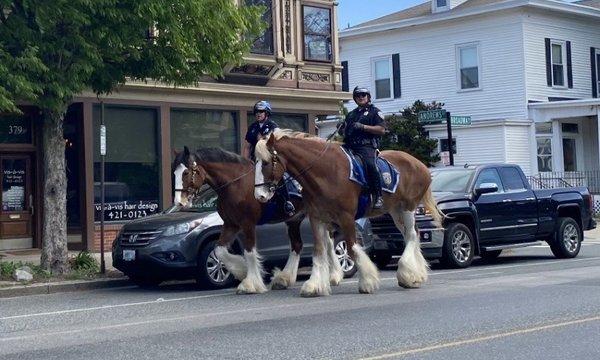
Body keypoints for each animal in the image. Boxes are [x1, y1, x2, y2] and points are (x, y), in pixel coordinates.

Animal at [171, 148, 344, 294]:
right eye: (174, 173)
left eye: (186, 172)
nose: (179, 203)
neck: (235, 183)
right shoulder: (231, 224)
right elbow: (220, 250)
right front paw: (241, 270)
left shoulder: (247, 224)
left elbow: (249, 252)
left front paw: (250, 284)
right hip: (294, 219)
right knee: (297, 245)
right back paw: (284, 278)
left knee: (329, 242)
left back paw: (334, 275)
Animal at [251, 131, 442, 296]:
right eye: (256, 163)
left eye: (266, 163)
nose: (259, 196)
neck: (326, 171)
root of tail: (421, 165)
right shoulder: (317, 218)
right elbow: (319, 250)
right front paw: (314, 285)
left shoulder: (346, 217)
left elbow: (352, 248)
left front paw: (367, 281)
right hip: (396, 210)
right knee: (411, 234)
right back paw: (415, 274)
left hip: (408, 207)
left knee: (411, 235)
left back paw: (407, 274)